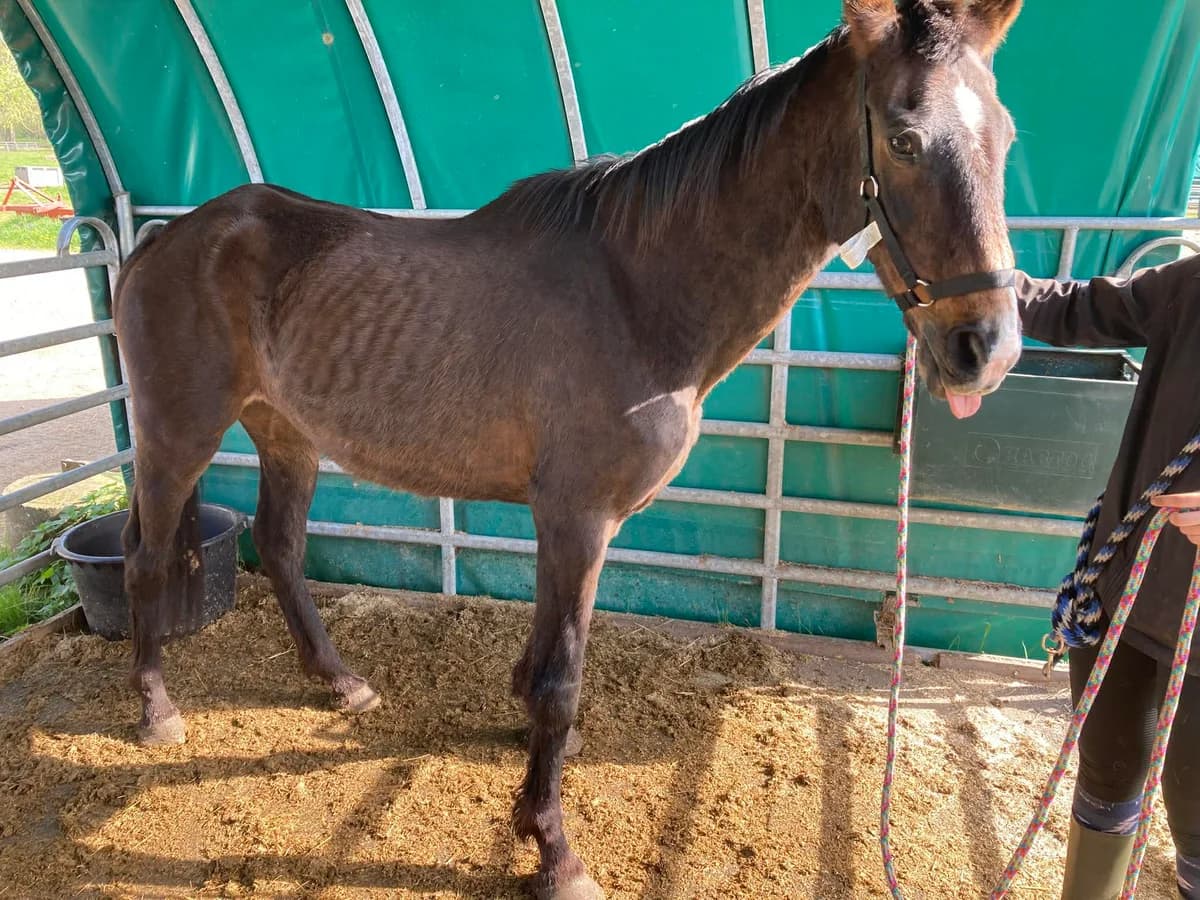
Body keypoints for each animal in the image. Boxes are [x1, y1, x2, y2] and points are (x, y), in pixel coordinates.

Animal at [113, 1, 1023, 896]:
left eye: (1007, 135)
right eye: (903, 139)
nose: (986, 347)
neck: (635, 293)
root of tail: (170, 236)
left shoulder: (565, 522)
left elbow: (549, 654)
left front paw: (534, 765)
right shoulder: (579, 517)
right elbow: (563, 678)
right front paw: (553, 848)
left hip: (285, 432)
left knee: (280, 545)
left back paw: (341, 682)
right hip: (177, 434)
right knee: (146, 558)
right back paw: (156, 710)